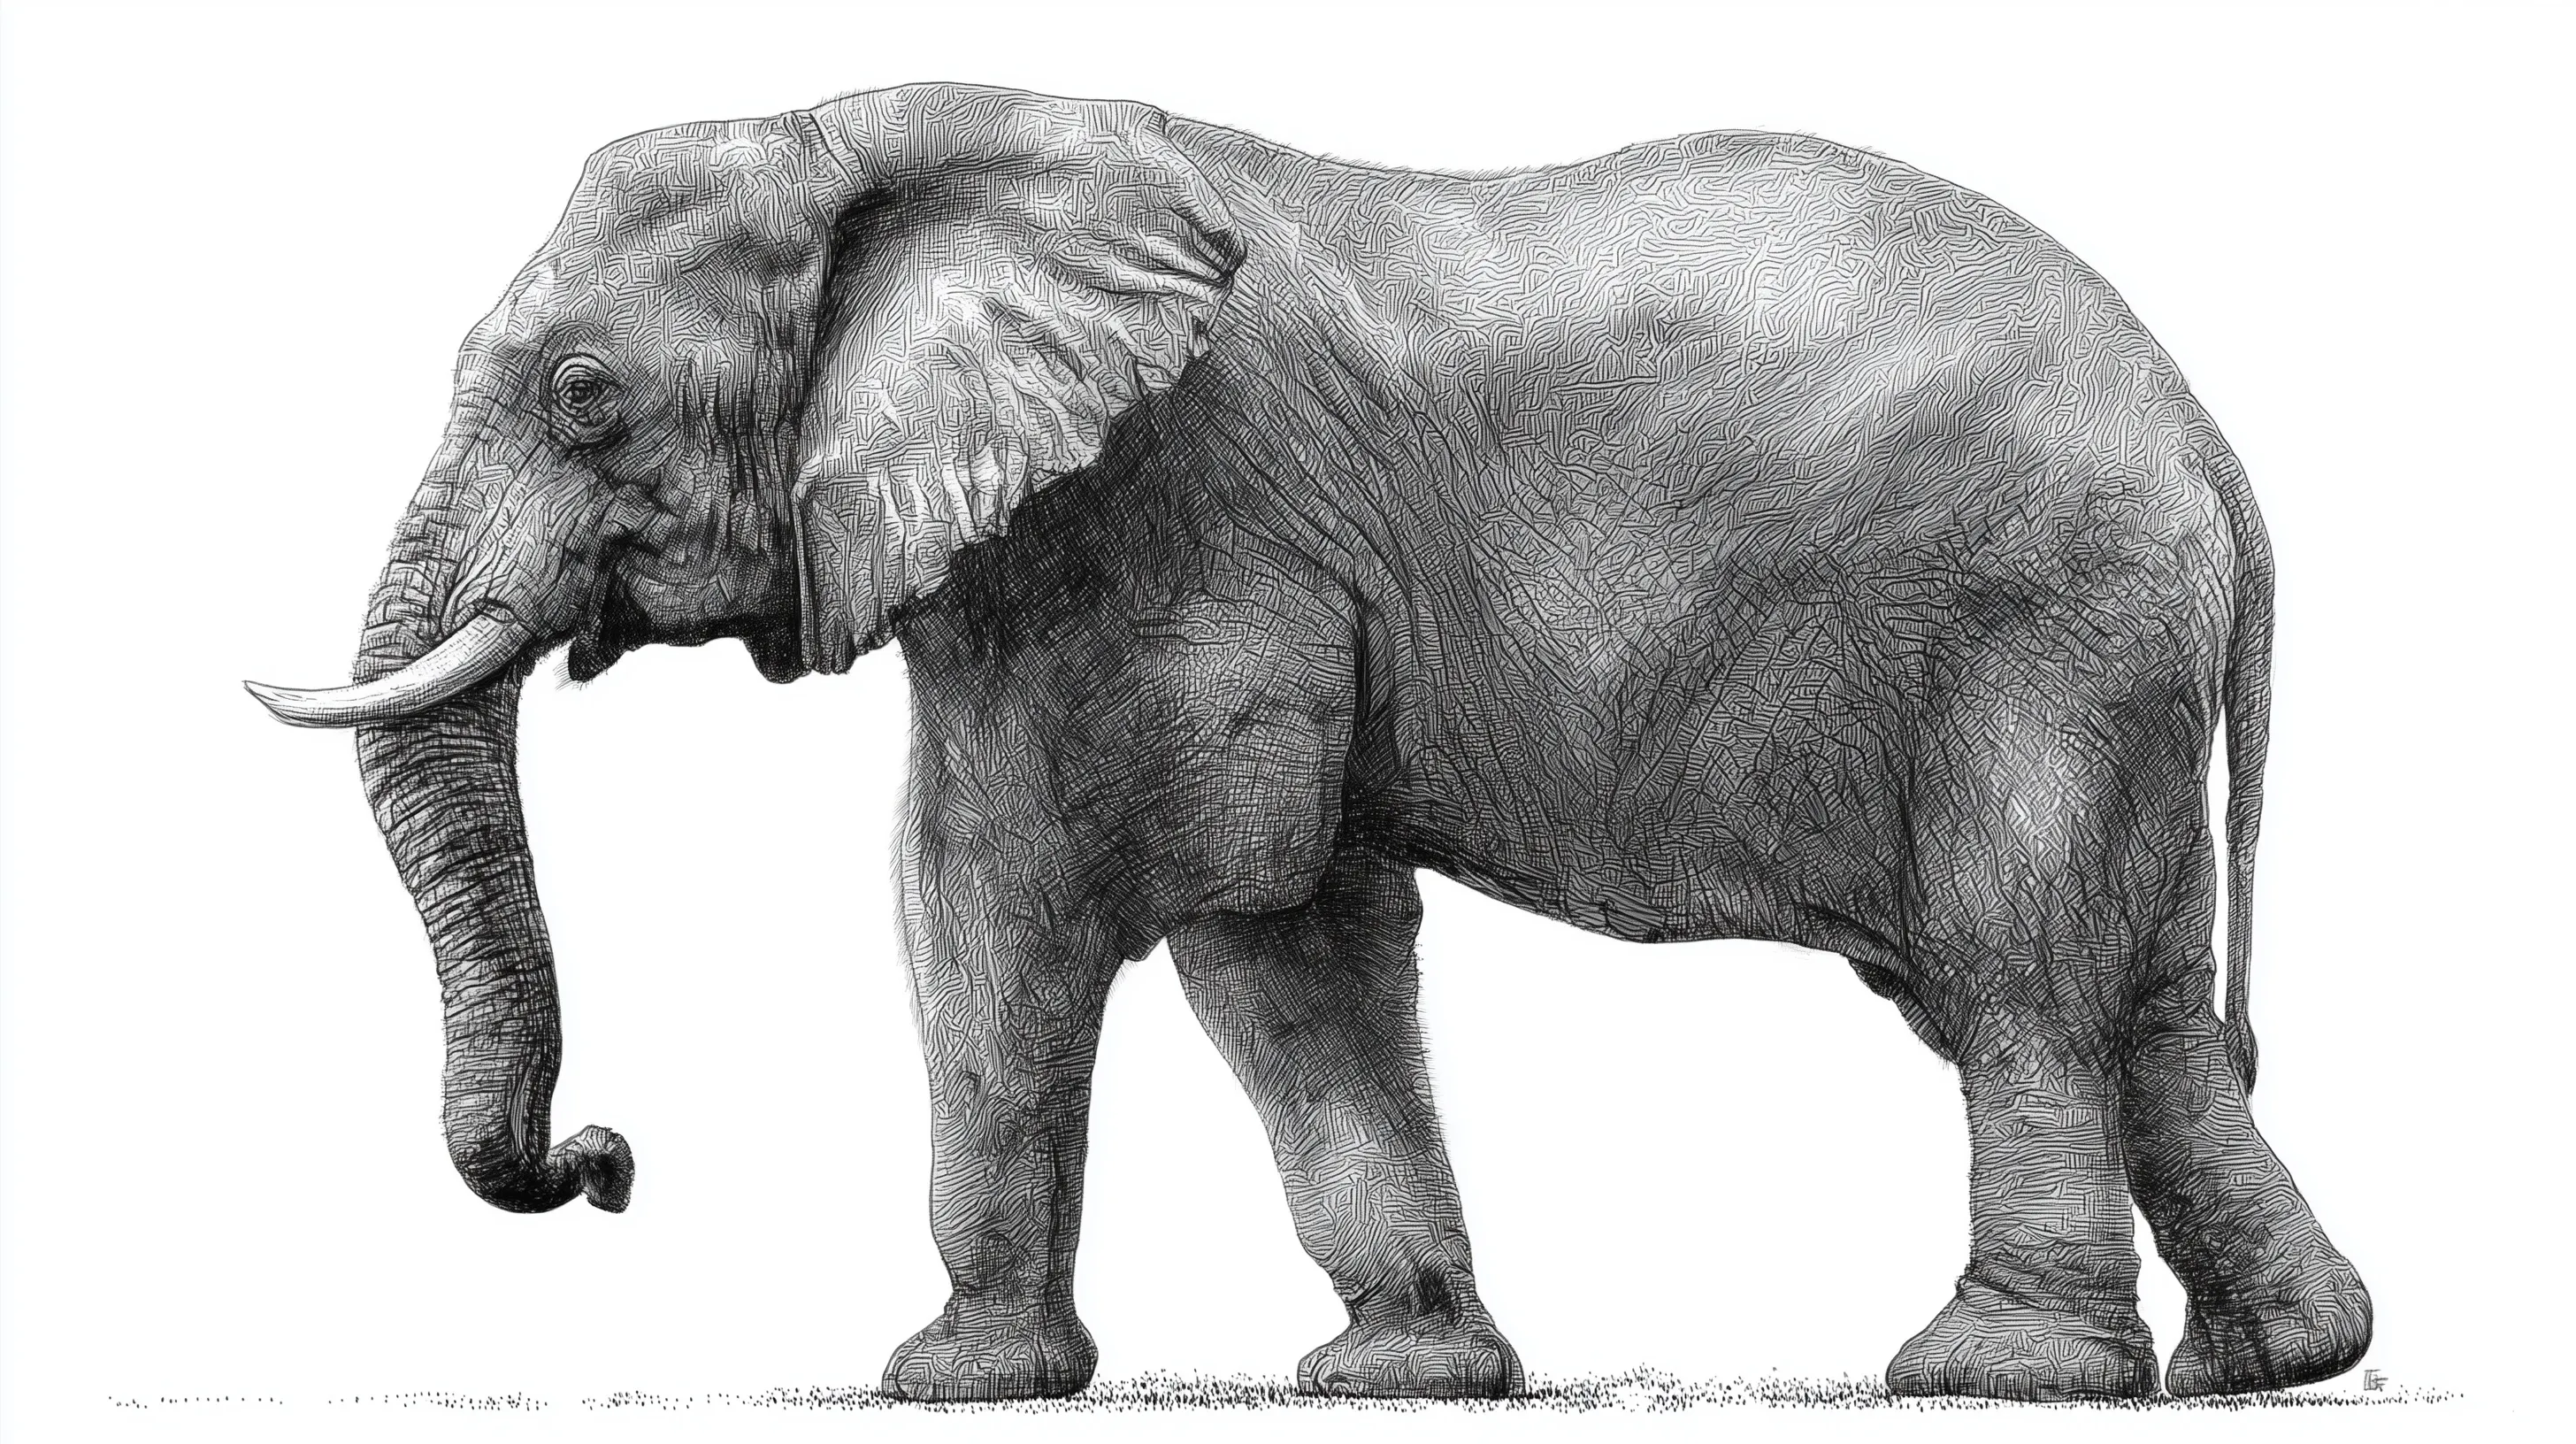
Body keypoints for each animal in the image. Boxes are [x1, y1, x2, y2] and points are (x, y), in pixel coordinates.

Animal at [248, 82, 2370, 1403]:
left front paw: (945, 1385)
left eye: (583, 398)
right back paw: (2273, 1363)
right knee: (2145, 1004)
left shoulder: (1173, 519)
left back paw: (1988, 1375)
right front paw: (1406, 1377)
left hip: (2040, 639)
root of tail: (2215, 447)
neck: (868, 131)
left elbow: (1037, 898)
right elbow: (1290, 939)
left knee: (2019, 983)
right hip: (2109, 657)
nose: (606, 1162)